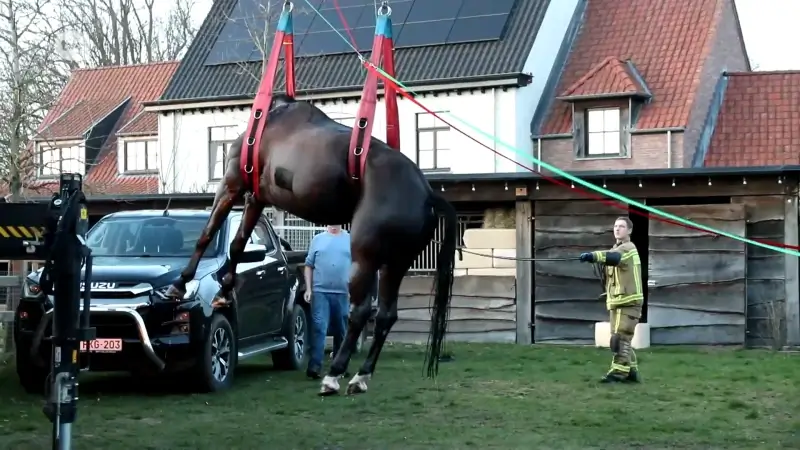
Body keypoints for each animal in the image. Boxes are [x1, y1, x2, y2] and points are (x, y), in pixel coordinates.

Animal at [165, 94, 459, 395]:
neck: (269, 118)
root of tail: (427, 195)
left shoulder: (232, 183)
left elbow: (208, 233)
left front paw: (179, 284)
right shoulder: (256, 198)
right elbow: (237, 244)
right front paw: (224, 289)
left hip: (365, 258)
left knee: (360, 311)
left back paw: (334, 375)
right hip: (395, 264)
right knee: (386, 316)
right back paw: (360, 377)